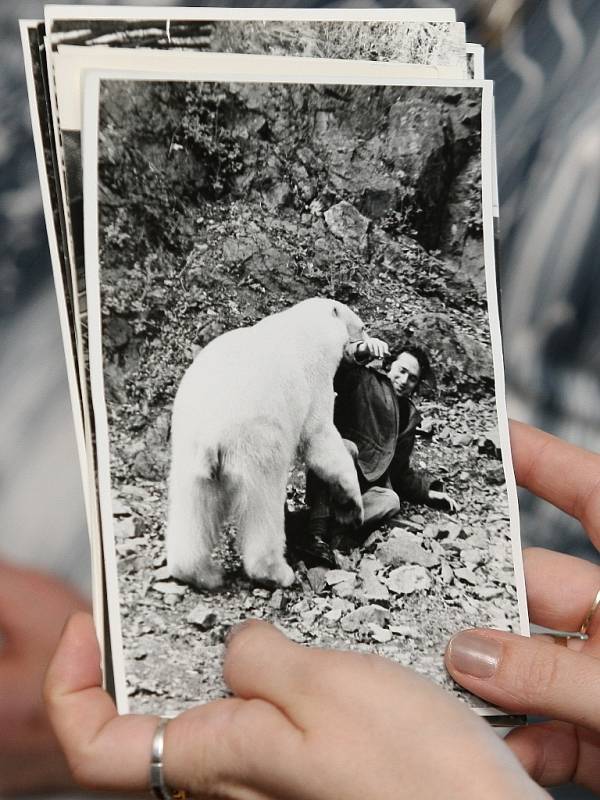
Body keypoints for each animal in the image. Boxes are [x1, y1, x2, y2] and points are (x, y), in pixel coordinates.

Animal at [166, 298, 368, 588]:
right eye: (361, 326)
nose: (366, 348)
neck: (307, 326)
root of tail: (211, 430)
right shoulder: (314, 378)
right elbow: (319, 439)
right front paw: (354, 506)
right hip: (256, 441)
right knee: (263, 503)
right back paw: (277, 572)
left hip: (187, 446)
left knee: (193, 505)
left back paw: (201, 573)